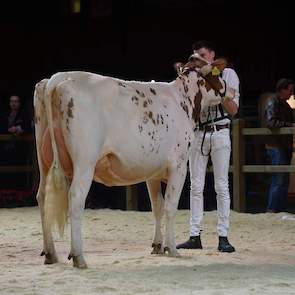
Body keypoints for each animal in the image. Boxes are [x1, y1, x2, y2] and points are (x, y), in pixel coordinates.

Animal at [34, 54, 234, 270]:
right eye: (218, 73)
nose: (231, 91)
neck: (183, 100)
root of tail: (58, 78)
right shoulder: (179, 166)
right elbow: (170, 207)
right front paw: (171, 248)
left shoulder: (153, 172)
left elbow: (157, 206)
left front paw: (157, 245)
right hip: (84, 161)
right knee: (76, 199)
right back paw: (78, 256)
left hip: (44, 159)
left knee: (42, 197)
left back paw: (51, 253)